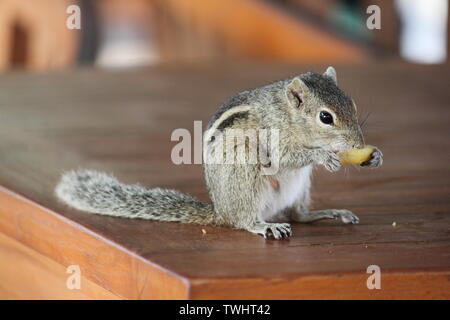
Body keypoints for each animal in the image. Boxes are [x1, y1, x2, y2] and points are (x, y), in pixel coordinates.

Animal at [54, 66, 382, 239]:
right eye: (325, 117)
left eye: (352, 104)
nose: (357, 144)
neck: (288, 114)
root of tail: (220, 210)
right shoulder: (274, 133)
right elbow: (284, 156)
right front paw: (324, 157)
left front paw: (375, 156)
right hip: (244, 176)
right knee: (243, 220)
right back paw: (263, 225)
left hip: (300, 187)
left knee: (299, 214)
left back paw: (328, 213)